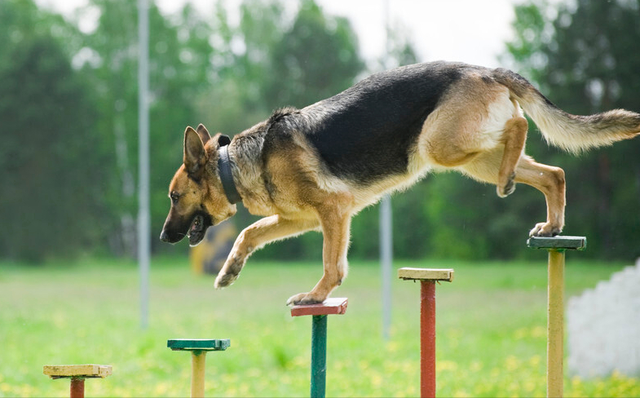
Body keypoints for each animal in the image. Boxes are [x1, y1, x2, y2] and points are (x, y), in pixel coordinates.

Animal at [161, 61, 640, 304]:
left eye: (174, 197)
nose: (164, 238)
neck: (236, 163)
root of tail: (483, 68)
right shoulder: (302, 219)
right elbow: (250, 232)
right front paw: (229, 271)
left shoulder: (333, 212)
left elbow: (332, 265)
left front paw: (316, 296)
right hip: (473, 159)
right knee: (552, 173)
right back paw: (550, 223)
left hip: (441, 145)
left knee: (520, 126)